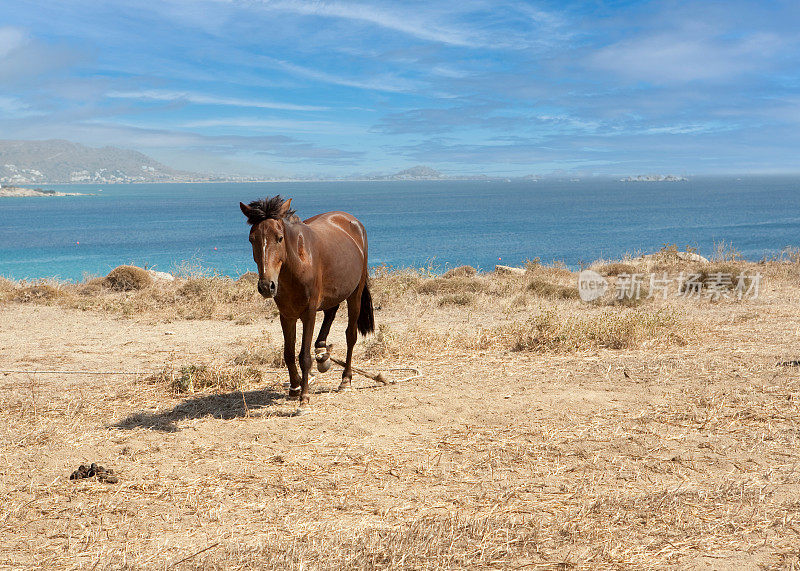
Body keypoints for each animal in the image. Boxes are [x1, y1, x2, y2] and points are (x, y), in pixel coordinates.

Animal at [239, 197, 374, 406]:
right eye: (252, 239)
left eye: (279, 238)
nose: (266, 286)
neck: (297, 266)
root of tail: (352, 221)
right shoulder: (286, 315)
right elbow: (288, 353)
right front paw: (295, 387)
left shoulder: (308, 314)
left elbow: (303, 356)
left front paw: (304, 396)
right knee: (331, 311)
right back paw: (322, 352)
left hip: (355, 294)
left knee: (350, 335)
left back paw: (345, 379)